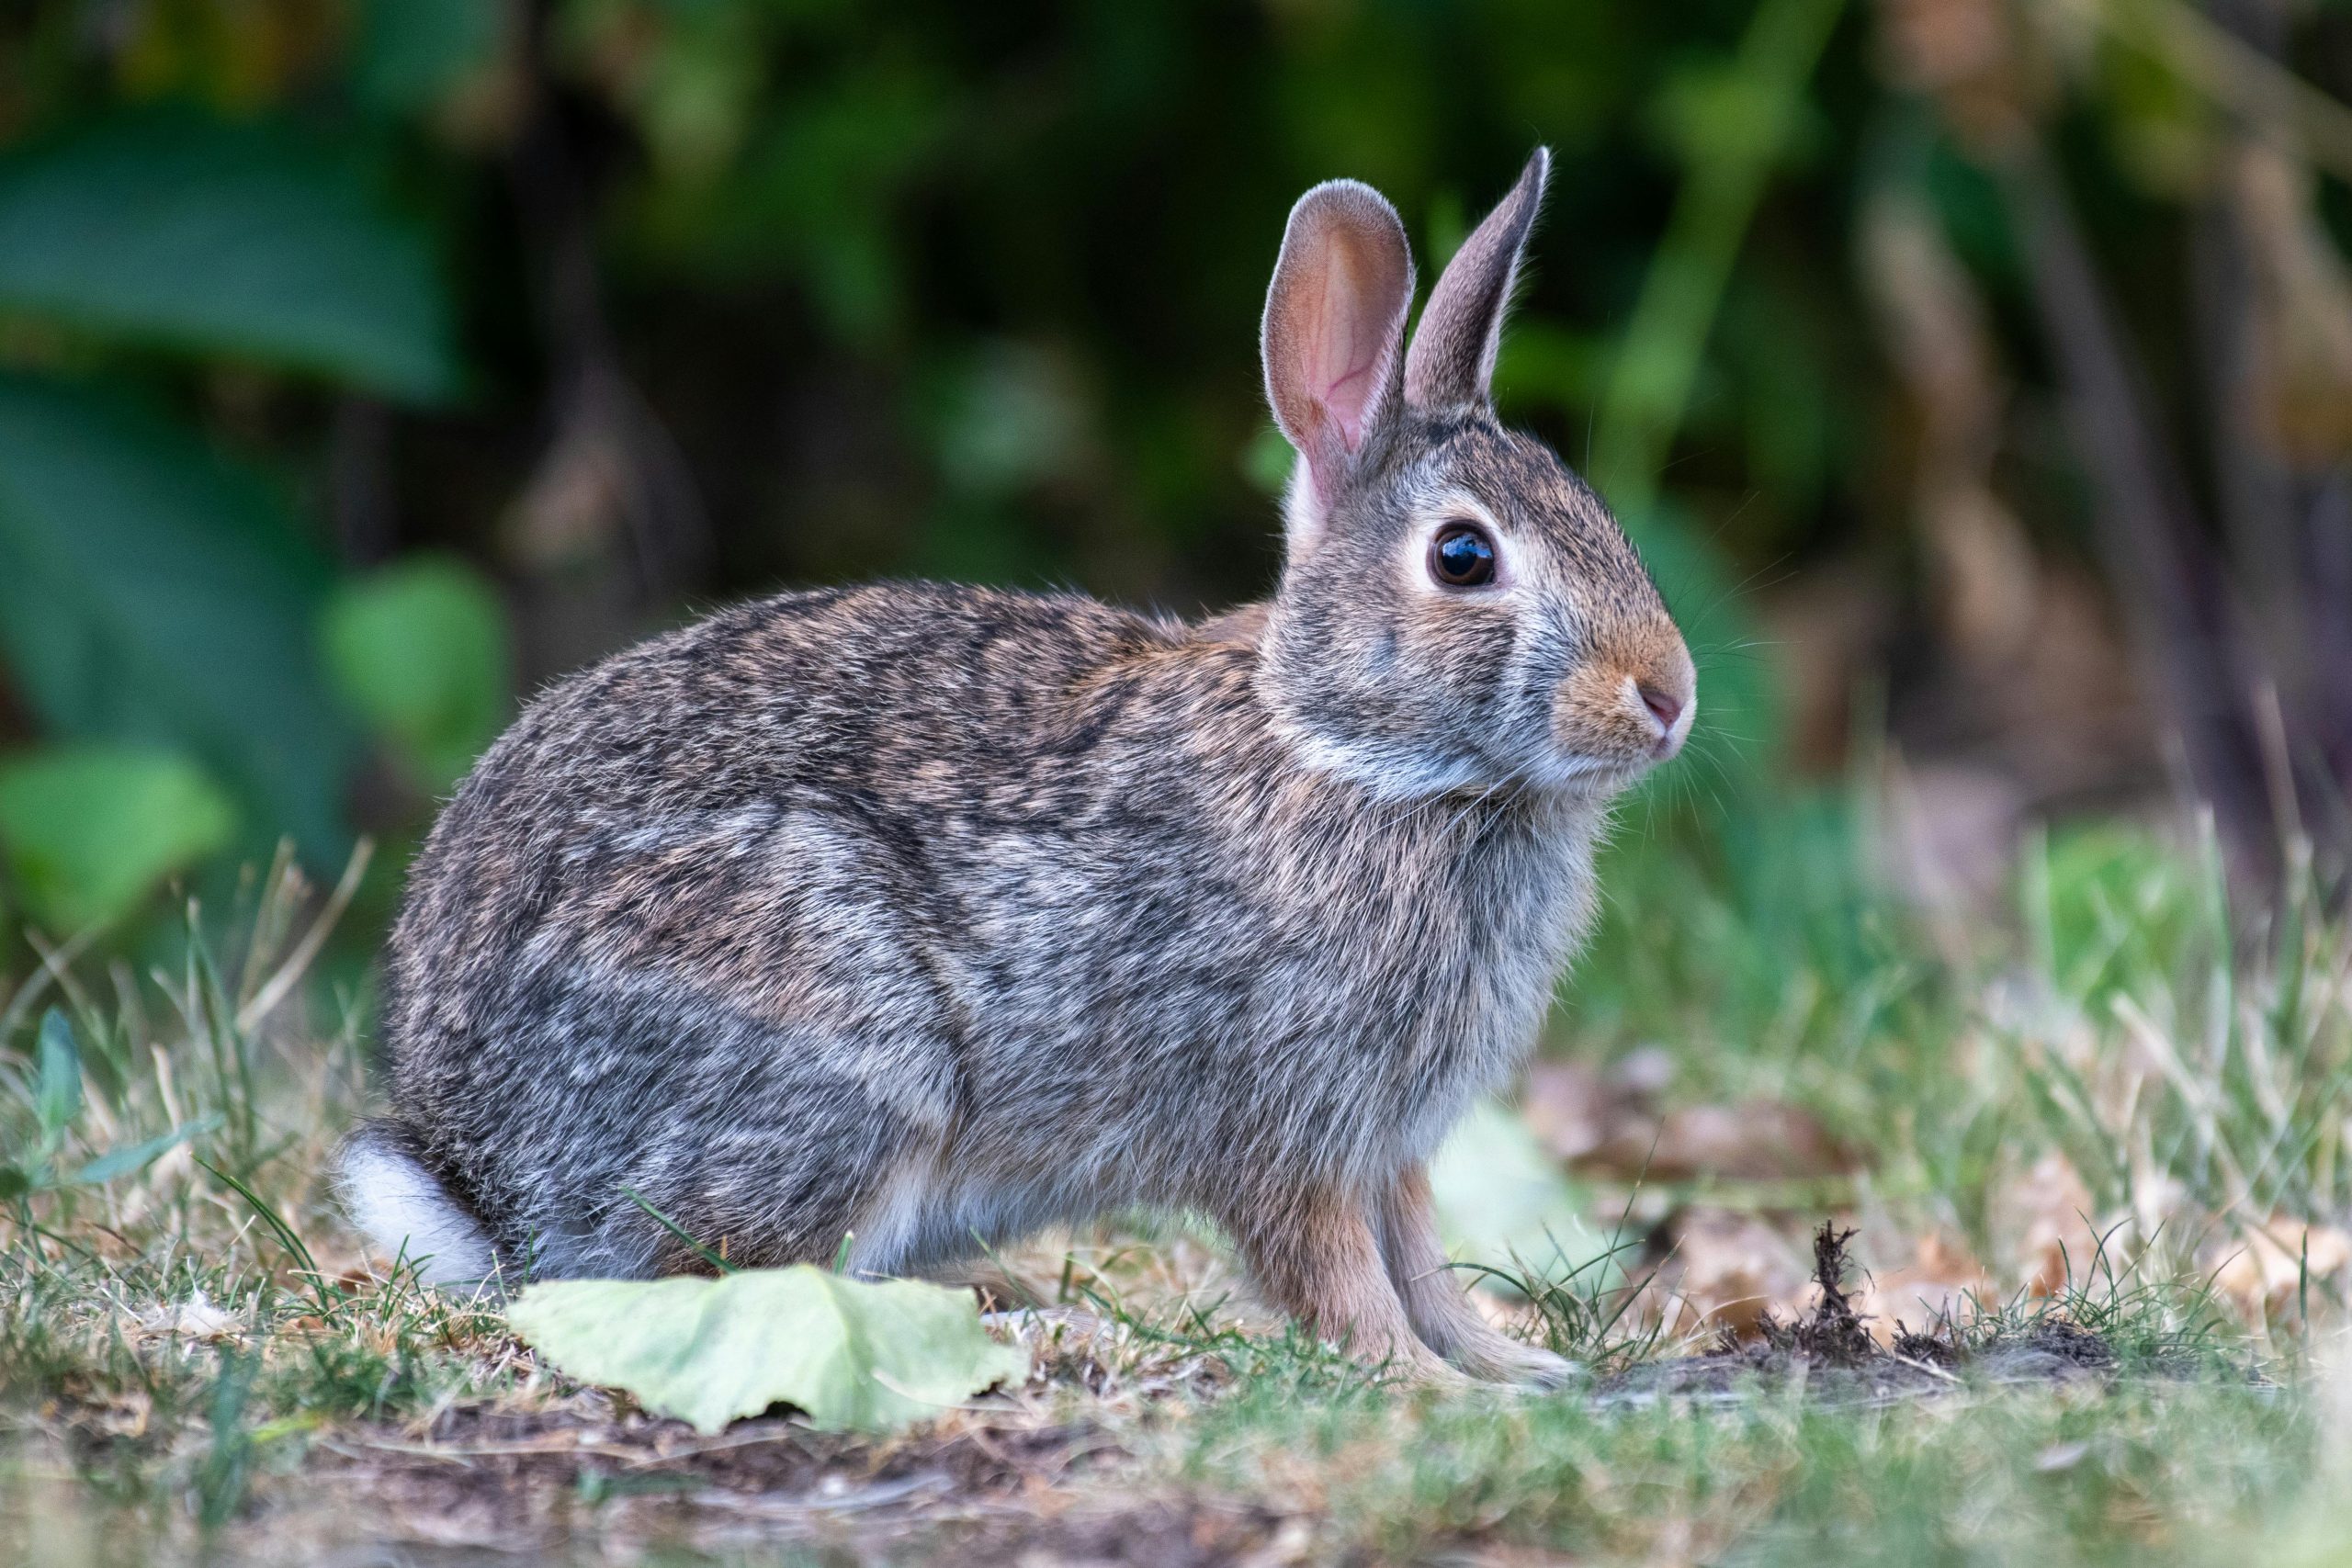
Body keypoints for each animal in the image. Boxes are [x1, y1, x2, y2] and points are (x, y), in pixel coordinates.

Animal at [339, 147, 1694, 1387]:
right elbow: (1335, 1269)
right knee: (729, 1274)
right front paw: (1420, 1382)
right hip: (836, 1039)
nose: (1670, 696)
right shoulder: (1284, 1118)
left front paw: (1512, 1364)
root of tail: (477, 1176)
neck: (1363, 758)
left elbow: (1418, 1255)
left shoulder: (1391, 1140)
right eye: (1464, 556)